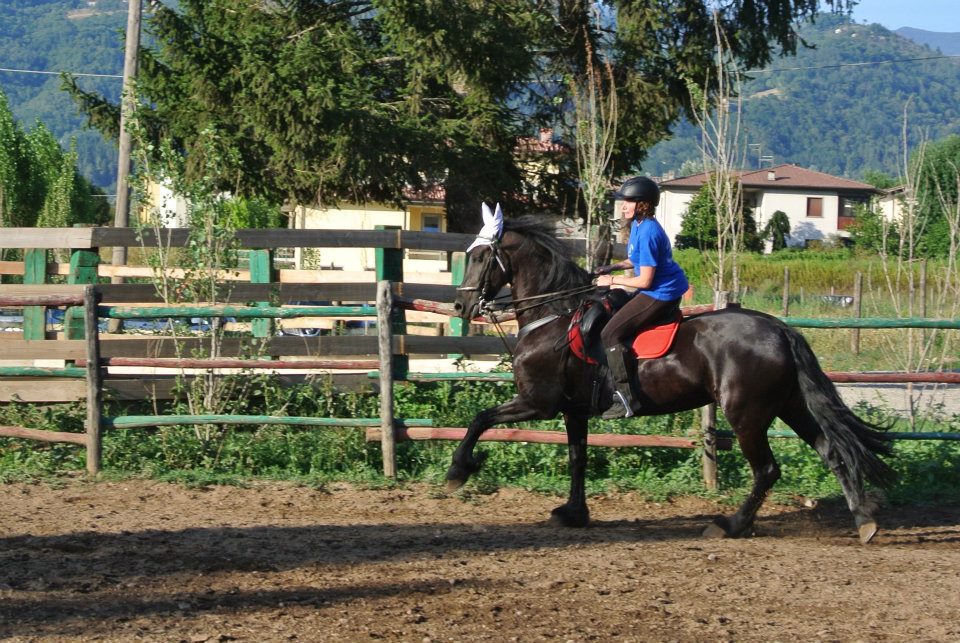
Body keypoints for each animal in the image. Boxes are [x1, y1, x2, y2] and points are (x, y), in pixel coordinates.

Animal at [448, 215, 892, 544]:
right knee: (831, 450)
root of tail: (780, 329)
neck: (553, 315)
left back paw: (730, 525)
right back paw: (864, 520)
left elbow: (480, 419)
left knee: (767, 469)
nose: (461, 305)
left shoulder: (538, 403)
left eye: (482, 255)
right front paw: (574, 513)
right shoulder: (573, 410)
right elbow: (578, 458)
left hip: (746, 414)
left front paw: (459, 472)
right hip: (788, 405)